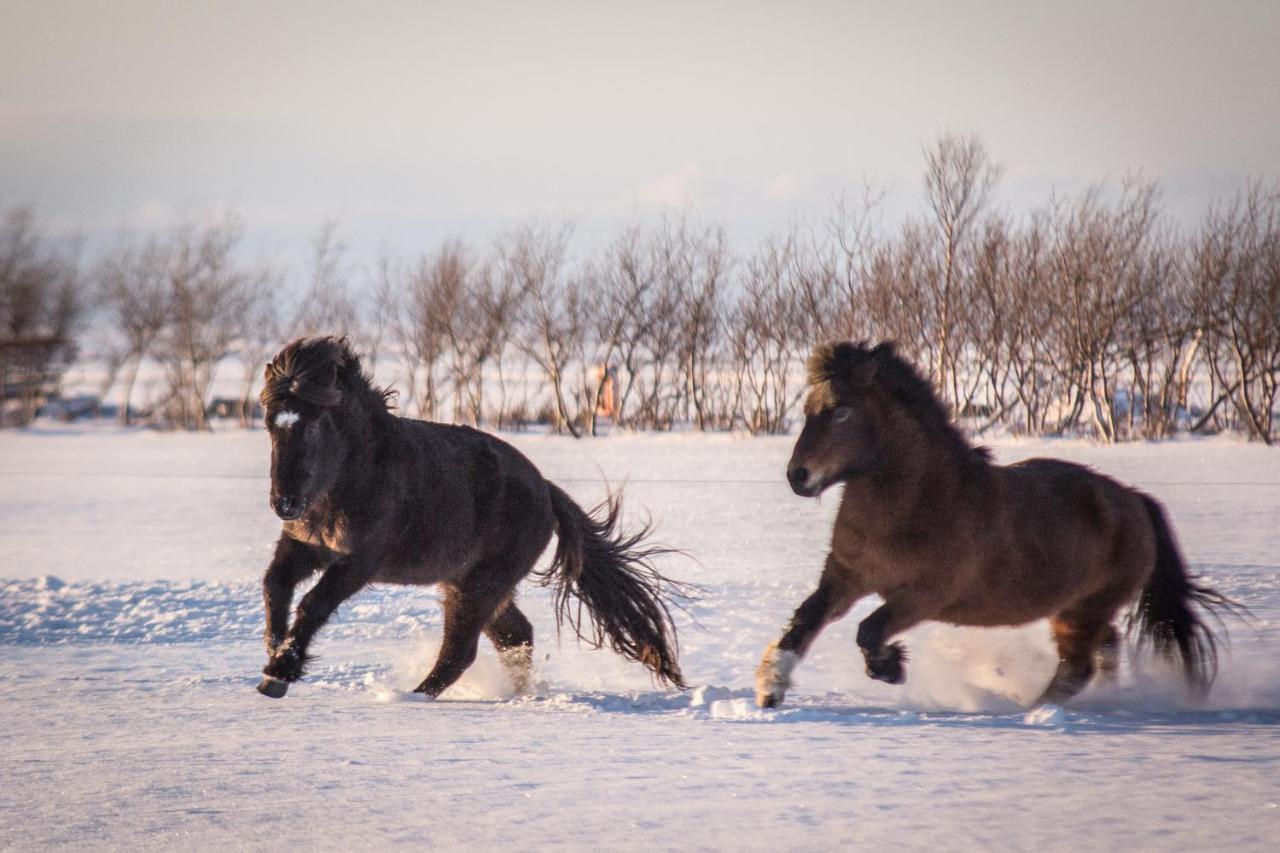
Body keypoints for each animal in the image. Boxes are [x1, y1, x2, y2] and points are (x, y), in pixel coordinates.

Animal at [253, 335, 686, 696]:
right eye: (271, 424)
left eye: (312, 426)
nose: (284, 503)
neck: (359, 473)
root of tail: (546, 491)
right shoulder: (305, 545)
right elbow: (275, 584)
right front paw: (275, 653)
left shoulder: (359, 562)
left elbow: (314, 603)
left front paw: (280, 672)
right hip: (474, 583)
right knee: (515, 637)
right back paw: (517, 693)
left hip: (478, 587)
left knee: (461, 651)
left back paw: (413, 697)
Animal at [752, 343, 1233, 706]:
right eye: (808, 409)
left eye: (840, 412)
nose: (798, 476)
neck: (915, 503)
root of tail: (1135, 500)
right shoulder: (846, 577)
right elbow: (804, 621)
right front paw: (769, 692)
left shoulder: (926, 595)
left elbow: (868, 630)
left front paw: (892, 667)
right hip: (1073, 608)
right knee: (1105, 650)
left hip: (1087, 608)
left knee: (1077, 667)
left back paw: (1032, 711)